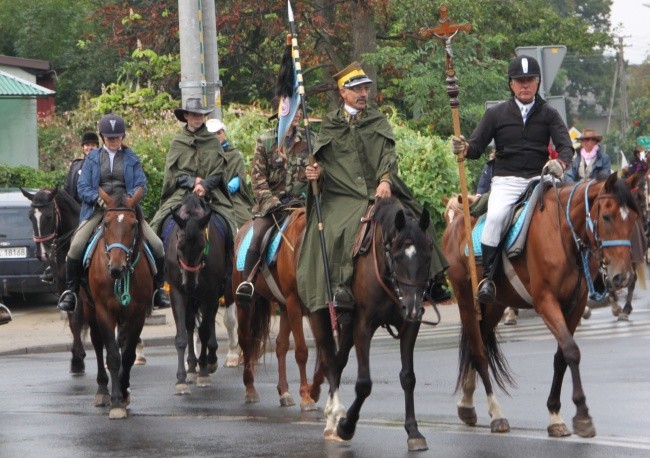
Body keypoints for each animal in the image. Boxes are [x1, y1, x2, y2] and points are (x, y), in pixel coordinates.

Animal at [21, 188, 87, 374]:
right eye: (30, 216)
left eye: (49, 216)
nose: (42, 254)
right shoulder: (64, 286)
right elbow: (73, 321)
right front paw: (77, 359)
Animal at [80, 186, 151, 418]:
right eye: (106, 223)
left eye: (133, 224)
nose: (116, 268)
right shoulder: (104, 311)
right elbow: (111, 354)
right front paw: (117, 401)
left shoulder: (138, 313)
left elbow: (127, 355)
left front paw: (124, 390)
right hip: (89, 309)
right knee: (97, 343)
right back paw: (103, 390)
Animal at [229, 206, 320, 410]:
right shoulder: (294, 303)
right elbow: (301, 351)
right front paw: (306, 397)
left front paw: (312, 391)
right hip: (244, 304)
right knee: (246, 341)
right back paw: (250, 390)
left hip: (284, 306)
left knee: (281, 345)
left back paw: (284, 391)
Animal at [308, 197, 432, 450]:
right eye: (398, 257)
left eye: (427, 256)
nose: (414, 307)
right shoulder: (363, 326)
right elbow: (364, 384)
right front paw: (346, 426)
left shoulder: (409, 326)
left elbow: (408, 377)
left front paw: (413, 431)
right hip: (320, 317)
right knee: (329, 361)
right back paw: (334, 417)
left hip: (346, 328)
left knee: (338, 361)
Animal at [440, 174, 636, 438]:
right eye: (606, 216)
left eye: (633, 217)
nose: (622, 277)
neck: (563, 233)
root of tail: (455, 225)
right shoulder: (546, 302)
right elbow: (571, 351)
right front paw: (582, 414)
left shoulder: (574, 306)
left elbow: (561, 356)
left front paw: (555, 414)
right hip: (466, 301)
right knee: (479, 352)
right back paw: (496, 414)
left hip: (495, 306)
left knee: (476, 344)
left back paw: (467, 405)